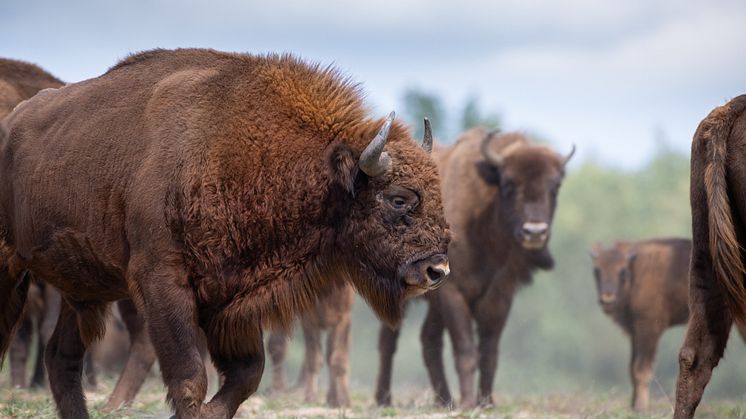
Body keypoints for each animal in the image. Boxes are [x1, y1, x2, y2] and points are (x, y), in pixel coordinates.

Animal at [0, 47, 448, 418]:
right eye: (398, 199)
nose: (437, 270)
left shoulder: (231, 300)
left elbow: (247, 375)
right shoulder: (163, 283)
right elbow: (189, 377)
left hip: (82, 292)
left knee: (61, 358)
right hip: (13, 267)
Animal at [374, 130, 572, 408]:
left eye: (555, 186)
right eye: (508, 184)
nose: (535, 231)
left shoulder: (499, 297)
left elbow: (489, 352)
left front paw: (487, 402)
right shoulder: (453, 293)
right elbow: (465, 349)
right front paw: (468, 402)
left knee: (428, 340)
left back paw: (444, 400)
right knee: (389, 340)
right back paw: (384, 399)